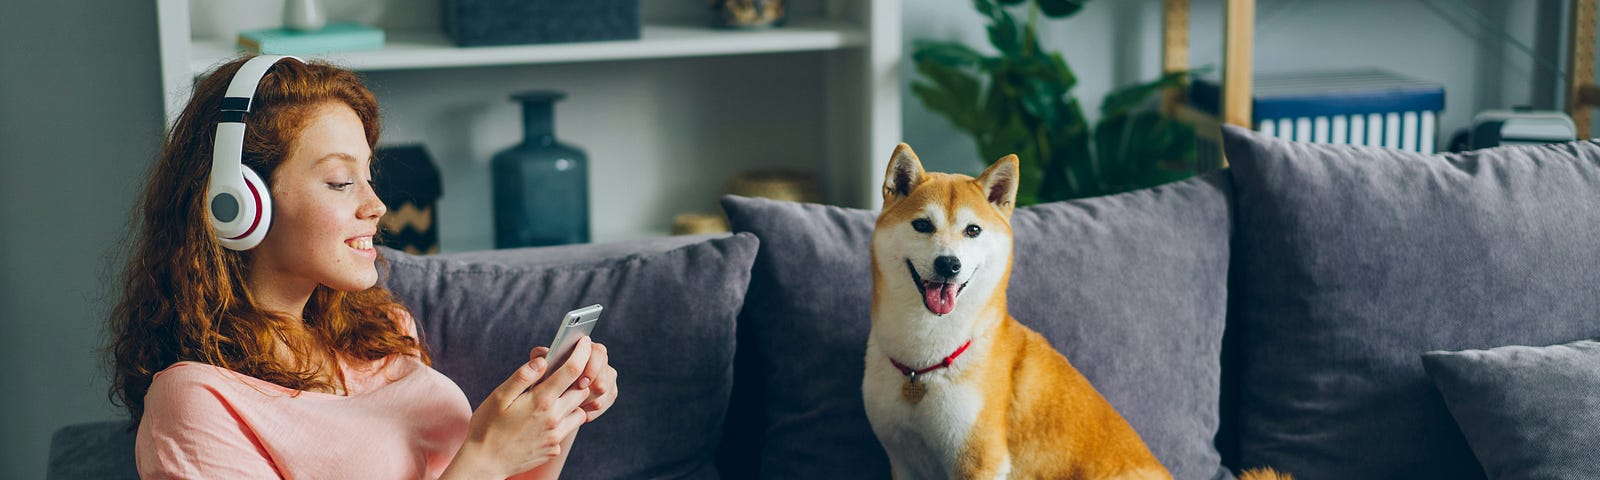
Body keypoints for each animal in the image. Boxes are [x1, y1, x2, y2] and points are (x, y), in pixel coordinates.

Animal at [864, 144, 1286, 480]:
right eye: (922, 225)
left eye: (972, 230)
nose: (949, 264)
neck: (923, 365)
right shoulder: (904, 460)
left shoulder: (979, 461)